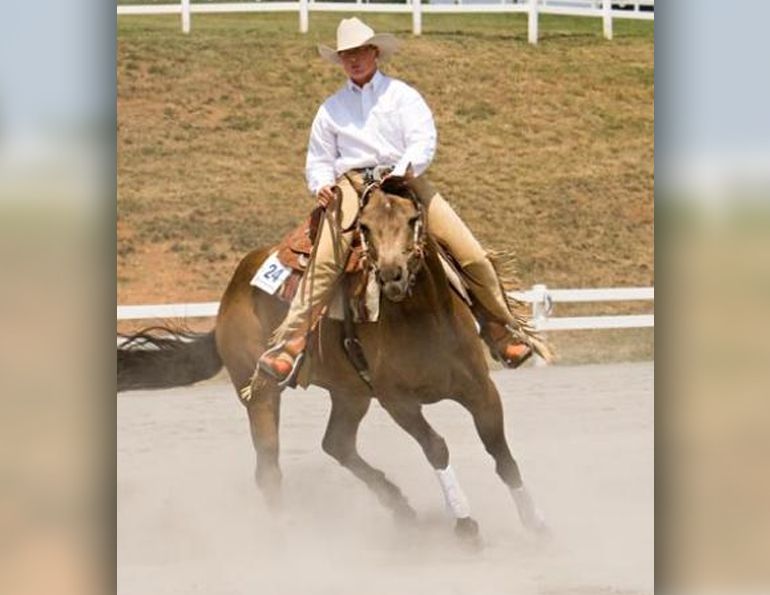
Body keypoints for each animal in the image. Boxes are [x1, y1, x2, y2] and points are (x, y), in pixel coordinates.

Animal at [118, 174, 548, 541]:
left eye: (413, 219)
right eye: (365, 227)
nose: (391, 275)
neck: (422, 318)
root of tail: (229, 295)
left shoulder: (480, 390)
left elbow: (500, 453)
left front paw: (535, 523)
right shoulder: (398, 402)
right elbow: (436, 448)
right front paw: (465, 525)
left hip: (350, 393)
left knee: (336, 444)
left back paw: (401, 508)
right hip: (260, 392)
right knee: (269, 469)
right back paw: (287, 536)